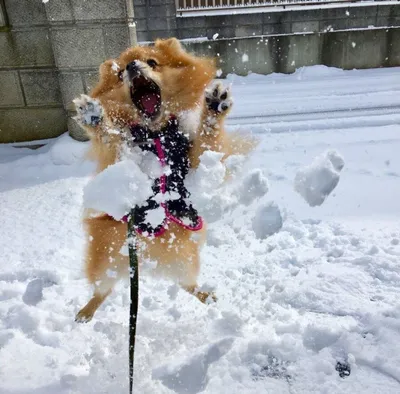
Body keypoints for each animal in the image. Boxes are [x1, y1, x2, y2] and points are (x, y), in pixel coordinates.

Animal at [73, 37, 252, 322]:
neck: (156, 134)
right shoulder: (117, 160)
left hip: (184, 259)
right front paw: (94, 116)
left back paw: (206, 295)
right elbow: (111, 140)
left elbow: (208, 141)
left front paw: (214, 106)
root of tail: (148, 262)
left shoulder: (194, 162)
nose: (132, 66)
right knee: (102, 289)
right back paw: (86, 311)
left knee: (187, 285)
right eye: (120, 73)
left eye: (152, 62)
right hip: (106, 257)